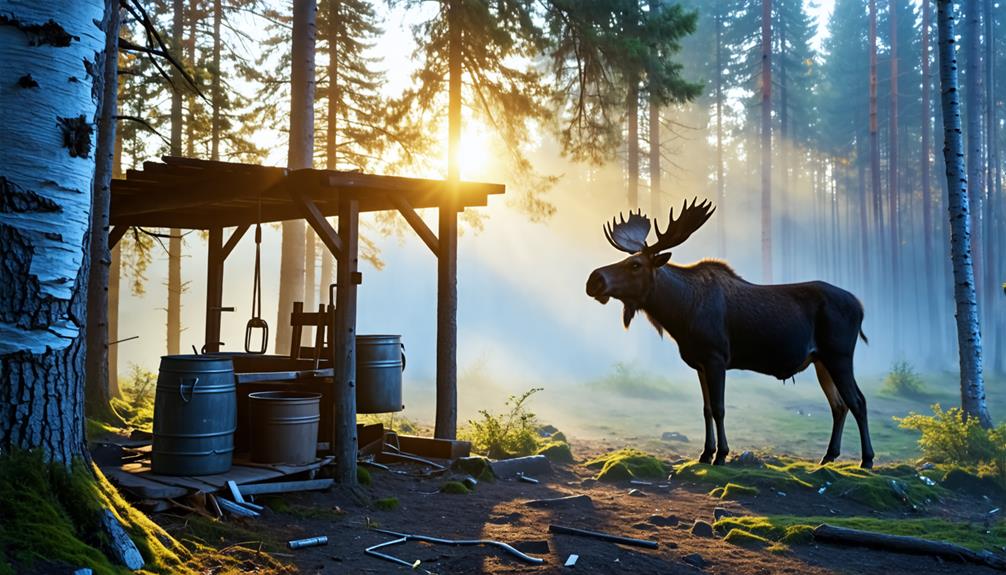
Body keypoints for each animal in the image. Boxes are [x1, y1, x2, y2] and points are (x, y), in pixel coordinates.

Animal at [585, 198, 875, 468]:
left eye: (635, 265)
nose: (593, 280)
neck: (680, 314)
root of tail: (861, 307)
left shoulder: (716, 358)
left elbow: (719, 408)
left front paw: (721, 454)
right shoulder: (699, 363)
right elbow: (705, 409)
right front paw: (705, 453)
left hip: (839, 355)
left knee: (858, 401)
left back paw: (867, 459)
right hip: (820, 360)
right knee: (839, 405)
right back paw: (829, 456)